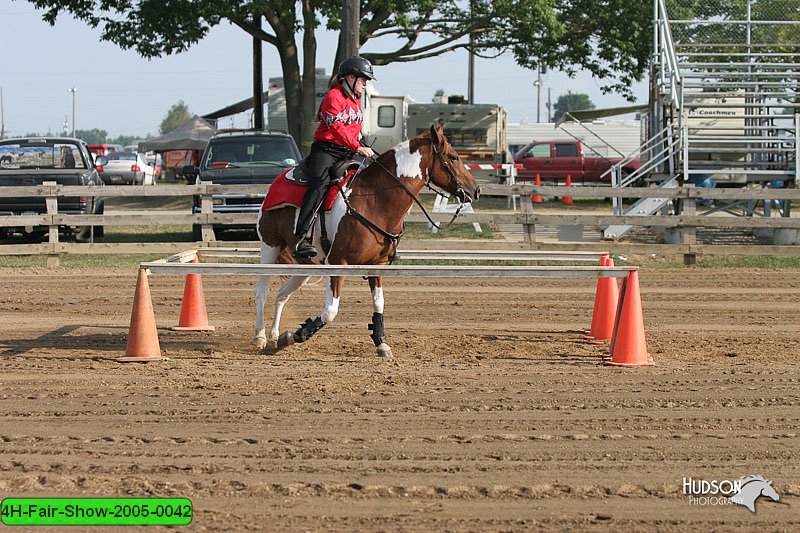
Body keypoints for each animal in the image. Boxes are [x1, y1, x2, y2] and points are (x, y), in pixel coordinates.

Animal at [253, 124, 482, 356]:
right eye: (453, 157)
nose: (476, 190)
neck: (374, 199)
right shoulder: (337, 262)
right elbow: (330, 311)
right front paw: (296, 334)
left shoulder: (377, 264)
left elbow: (379, 302)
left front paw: (381, 342)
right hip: (270, 248)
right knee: (261, 292)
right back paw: (260, 337)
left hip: (305, 266)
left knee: (281, 295)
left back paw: (274, 336)